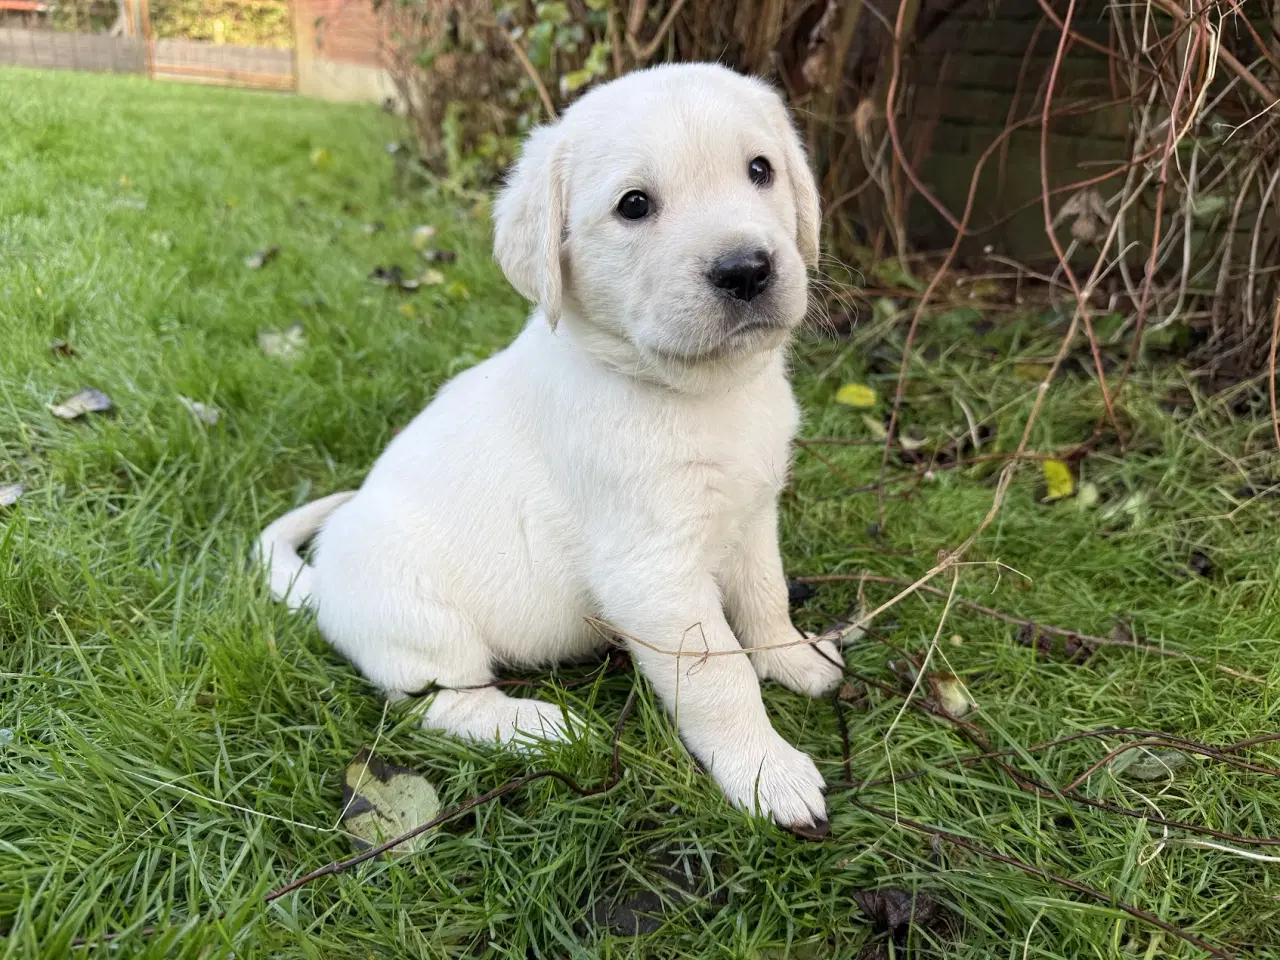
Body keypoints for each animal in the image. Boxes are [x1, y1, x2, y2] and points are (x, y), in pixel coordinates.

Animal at [254, 64, 844, 829]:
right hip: (423, 623)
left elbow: (768, 600)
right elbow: (720, 674)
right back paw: (545, 726)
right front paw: (767, 771)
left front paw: (796, 660)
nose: (747, 268)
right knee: (442, 706)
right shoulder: (653, 574)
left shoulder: (753, 516)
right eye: (633, 205)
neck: (694, 392)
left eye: (760, 170)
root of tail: (322, 582)